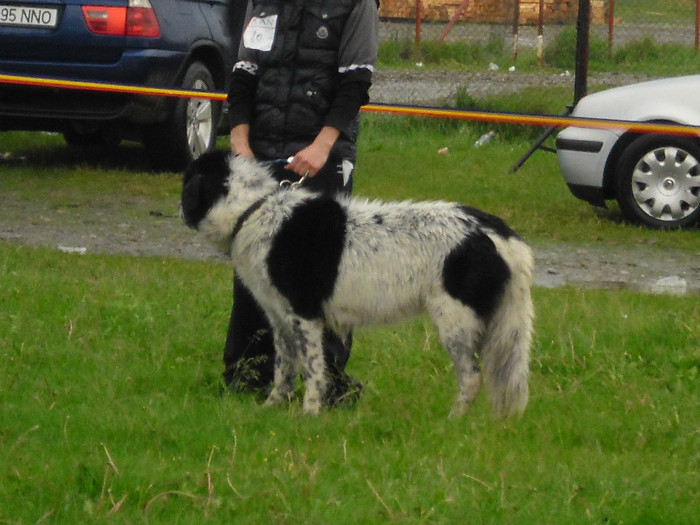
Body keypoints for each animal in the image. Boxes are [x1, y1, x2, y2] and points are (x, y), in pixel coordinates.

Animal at [183, 151, 532, 418]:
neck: (254, 209)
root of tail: (495, 231)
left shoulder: (306, 317)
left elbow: (313, 370)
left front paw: (309, 413)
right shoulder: (281, 320)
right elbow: (284, 370)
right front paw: (272, 407)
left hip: (455, 321)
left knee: (472, 379)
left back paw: (452, 421)